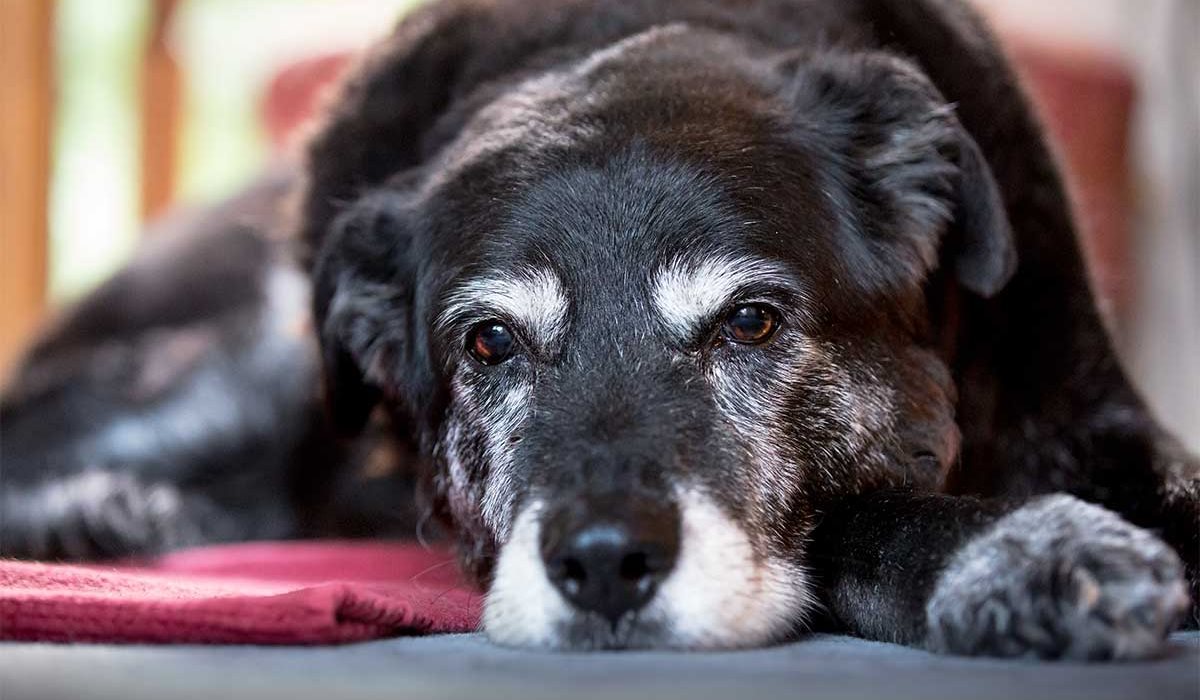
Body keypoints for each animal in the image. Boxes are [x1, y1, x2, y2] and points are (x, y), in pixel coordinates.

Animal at [2, 0, 1200, 657]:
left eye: (751, 323)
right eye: (488, 343)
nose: (606, 564)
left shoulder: (1092, 416)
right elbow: (860, 512)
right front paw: (1026, 552)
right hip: (258, 353)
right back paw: (97, 512)